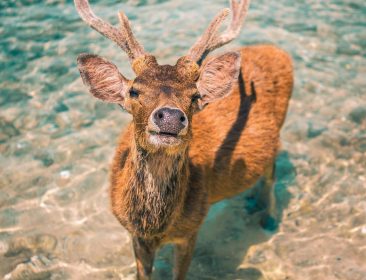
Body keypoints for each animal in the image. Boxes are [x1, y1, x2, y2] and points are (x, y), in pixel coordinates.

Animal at [75, 0, 294, 278]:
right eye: (134, 91)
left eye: (194, 95)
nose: (169, 116)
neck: (155, 227)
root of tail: (277, 50)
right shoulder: (135, 235)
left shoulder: (192, 228)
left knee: (271, 173)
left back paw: (269, 218)